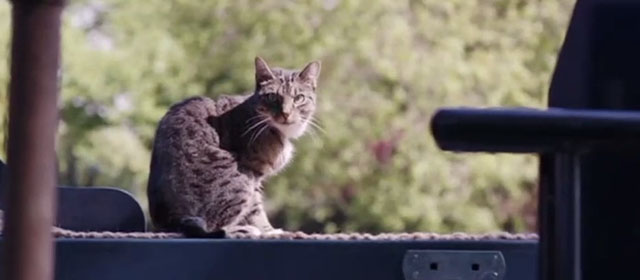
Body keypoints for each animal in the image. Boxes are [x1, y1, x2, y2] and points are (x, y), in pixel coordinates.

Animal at [146, 58, 318, 237]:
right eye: (272, 97)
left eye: (299, 98)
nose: (286, 113)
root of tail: (172, 221)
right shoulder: (251, 171)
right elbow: (256, 210)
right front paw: (269, 231)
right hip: (238, 179)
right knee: (213, 225)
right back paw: (244, 229)